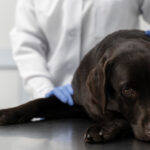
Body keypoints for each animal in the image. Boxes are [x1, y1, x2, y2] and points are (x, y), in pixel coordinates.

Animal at [0, 29, 150, 143]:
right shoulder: (78, 103)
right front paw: (7, 113)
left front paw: (103, 129)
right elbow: (38, 102)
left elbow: (121, 117)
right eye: (127, 90)